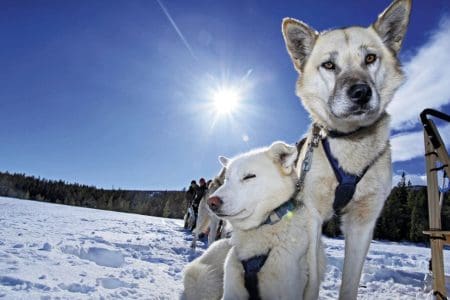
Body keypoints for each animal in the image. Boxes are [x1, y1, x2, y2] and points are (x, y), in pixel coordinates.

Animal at [282, 0, 412, 298]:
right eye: (329, 65)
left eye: (370, 58)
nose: (361, 92)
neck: (351, 141)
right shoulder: (313, 216)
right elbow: (312, 282)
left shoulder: (362, 223)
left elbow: (351, 281)